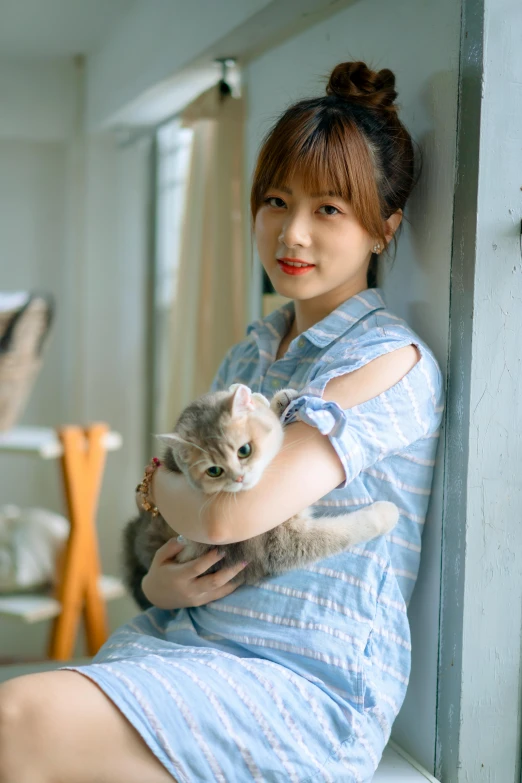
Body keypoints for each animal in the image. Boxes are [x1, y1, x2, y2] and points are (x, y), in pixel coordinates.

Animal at [122, 382, 398, 608]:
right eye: (214, 471)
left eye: (244, 450)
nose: (239, 478)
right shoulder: (281, 543)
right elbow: (339, 533)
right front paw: (385, 514)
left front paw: (277, 402)